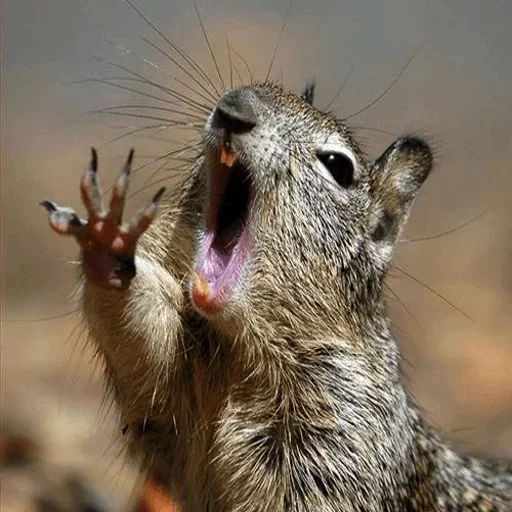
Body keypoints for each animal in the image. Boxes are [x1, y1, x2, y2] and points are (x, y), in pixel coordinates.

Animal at [42, 82, 510, 510]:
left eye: (339, 166)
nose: (232, 109)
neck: (233, 352)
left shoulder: (343, 434)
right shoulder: (170, 398)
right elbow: (143, 348)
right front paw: (107, 247)